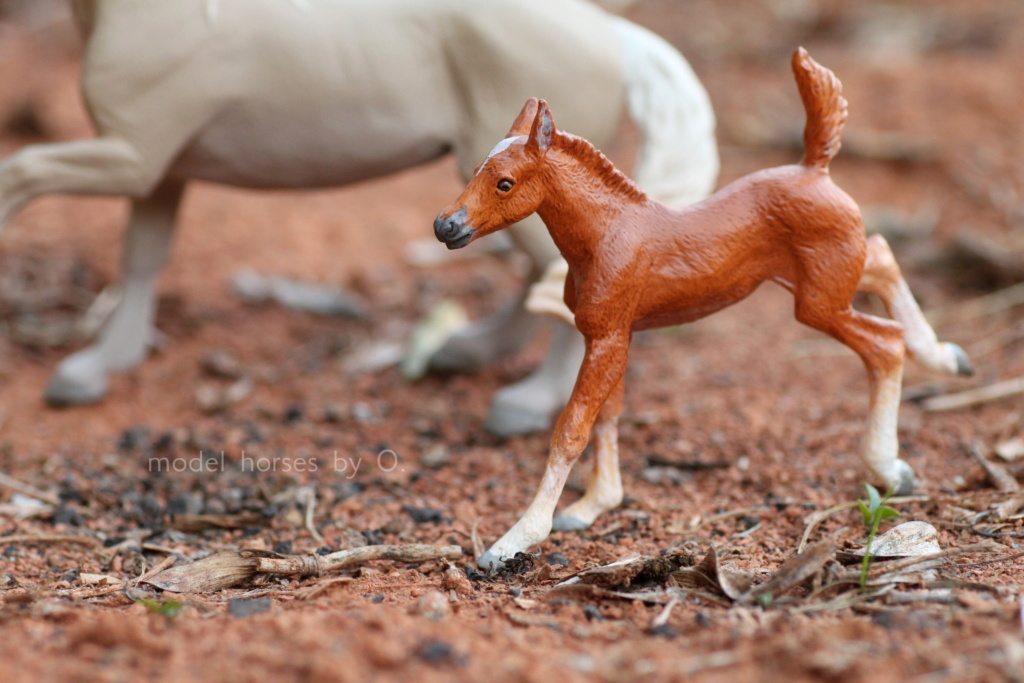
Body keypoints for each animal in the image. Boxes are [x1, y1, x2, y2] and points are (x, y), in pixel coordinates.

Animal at [434, 48, 974, 573]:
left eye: (504, 183)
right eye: (475, 170)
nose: (445, 226)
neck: (606, 234)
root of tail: (814, 168)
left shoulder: (608, 339)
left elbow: (572, 429)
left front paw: (514, 540)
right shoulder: (612, 334)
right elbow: (608, 416)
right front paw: (593, 506)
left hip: (817, 302)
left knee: (885, 343)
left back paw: (890, 465)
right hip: (825, 279)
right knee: (881, 257)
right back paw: (947, 356)